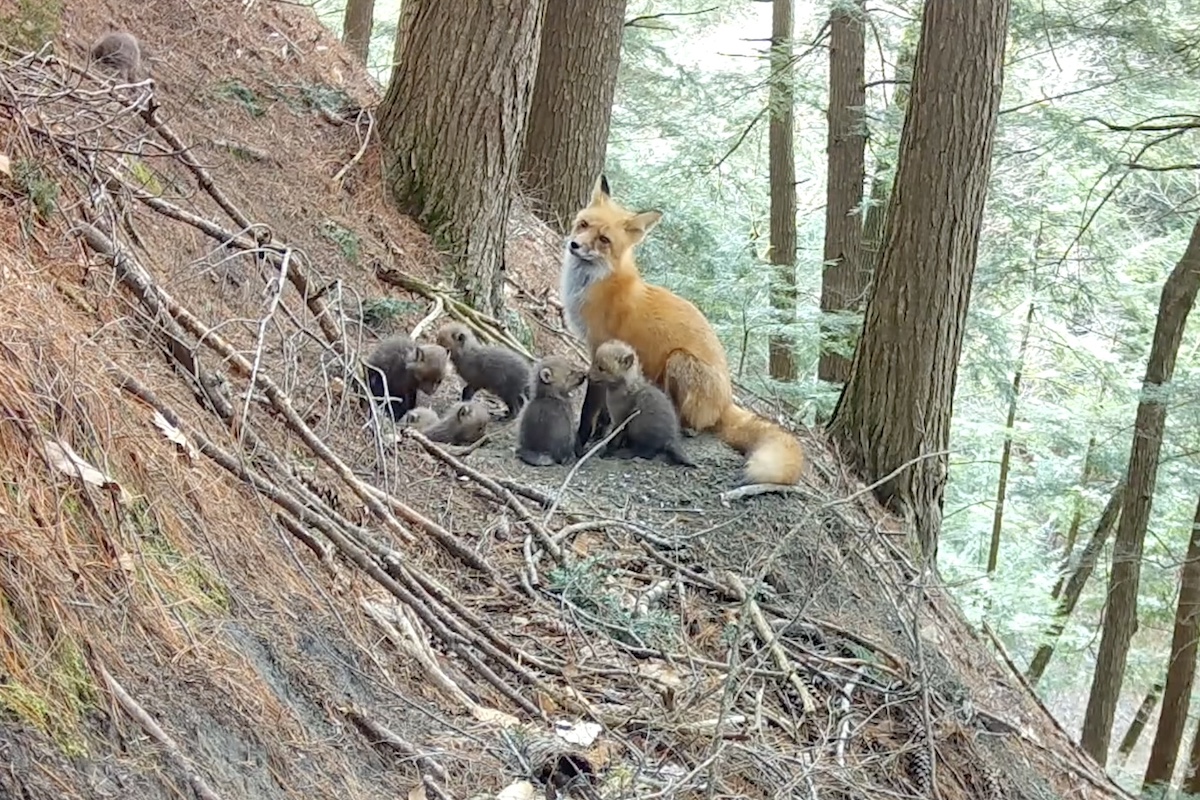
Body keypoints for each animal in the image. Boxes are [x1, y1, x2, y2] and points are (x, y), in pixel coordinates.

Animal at [560, 174, 804, 486]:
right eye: (583, 224)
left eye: (604, 240)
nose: (574, 245)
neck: (595, 285)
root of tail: (727, 401)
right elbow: (604, 412)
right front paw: (601, 435)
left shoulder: (598, 349)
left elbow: (590, 408)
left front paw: (582, 441)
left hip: (678, 360)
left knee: (692, 421)